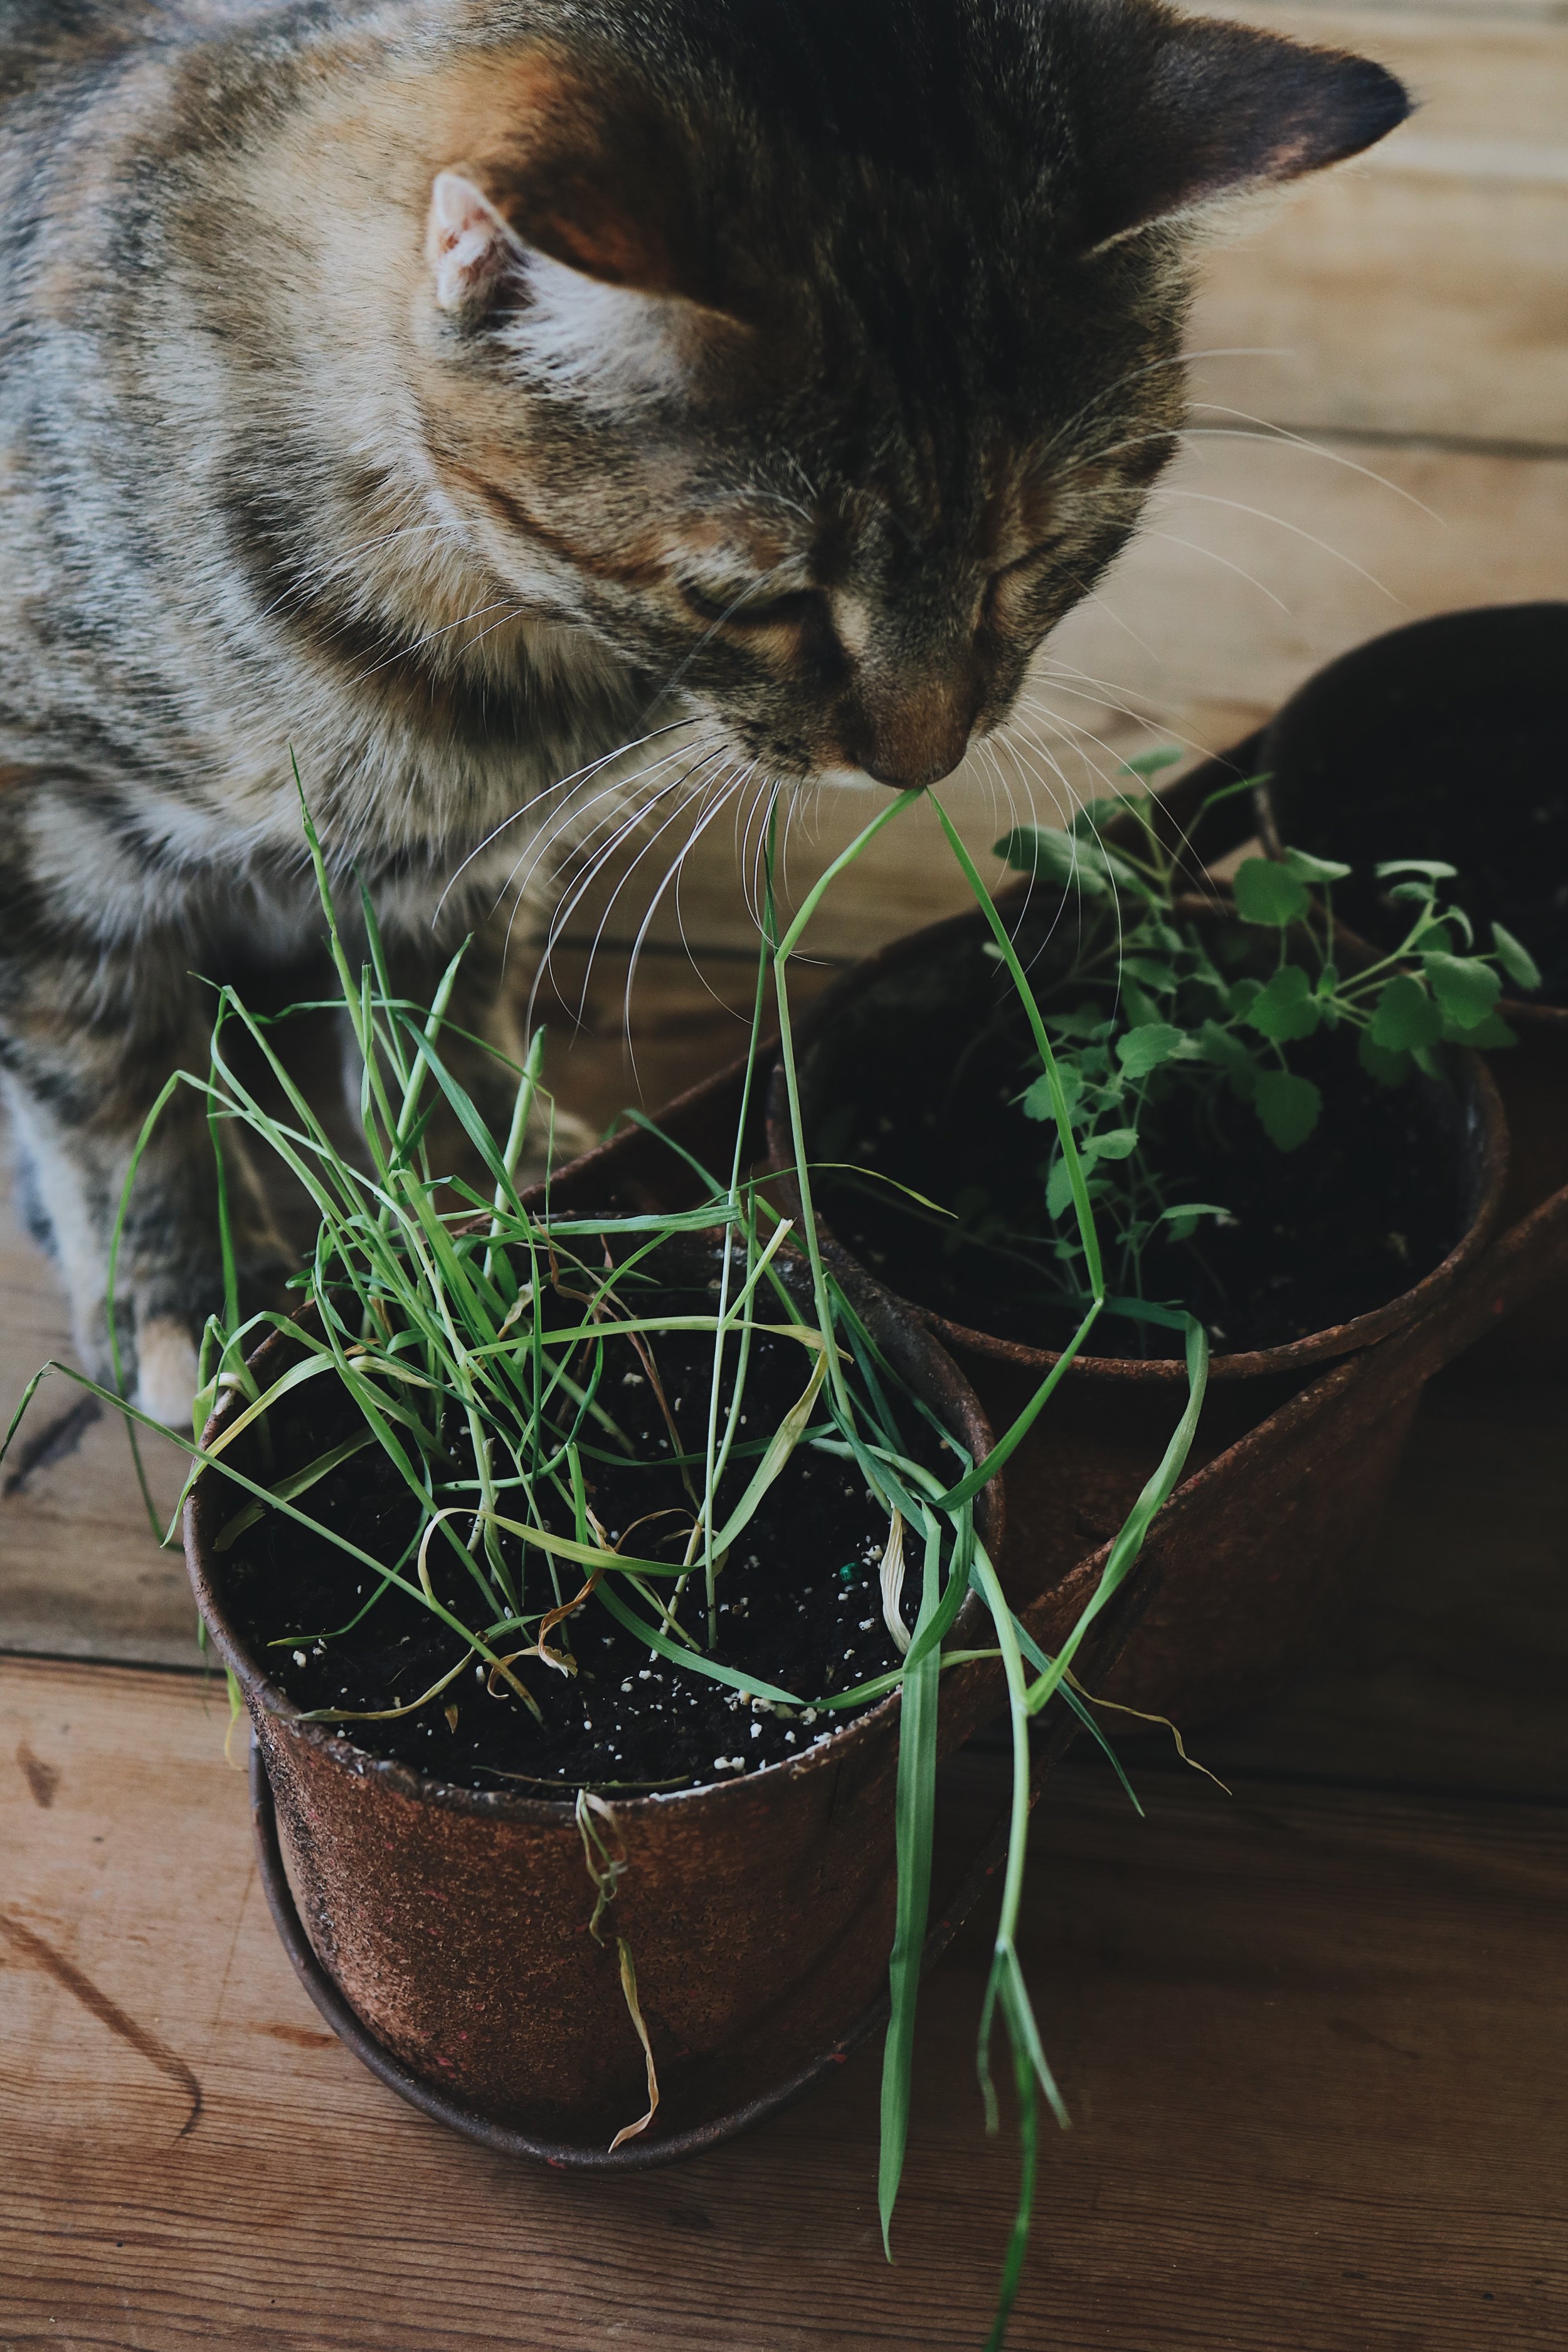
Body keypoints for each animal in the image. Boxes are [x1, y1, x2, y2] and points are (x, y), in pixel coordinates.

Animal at [0, 0, 1410, 1411]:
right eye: (762, 596)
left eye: (1035, 557)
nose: (923, 762)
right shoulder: (48, 841)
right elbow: (118, 1097)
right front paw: (194, 1307)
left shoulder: (457, 875)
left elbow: (439, 1036)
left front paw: (497, 1211)